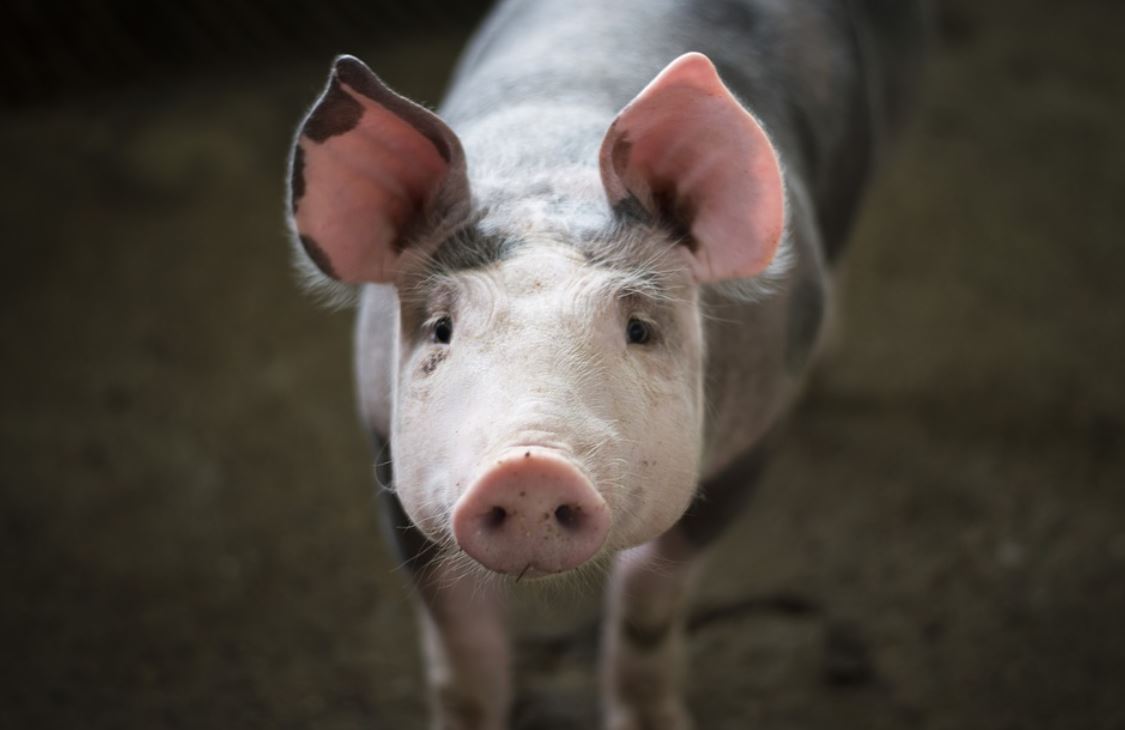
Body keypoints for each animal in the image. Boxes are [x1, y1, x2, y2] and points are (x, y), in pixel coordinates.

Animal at [285, 0, 926, 727]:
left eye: (638, 329)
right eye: (441, 329)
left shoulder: (750, 441)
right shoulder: (387, 448)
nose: (528, 468)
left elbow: (648, 603)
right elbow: (458, 642)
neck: (551, 168)